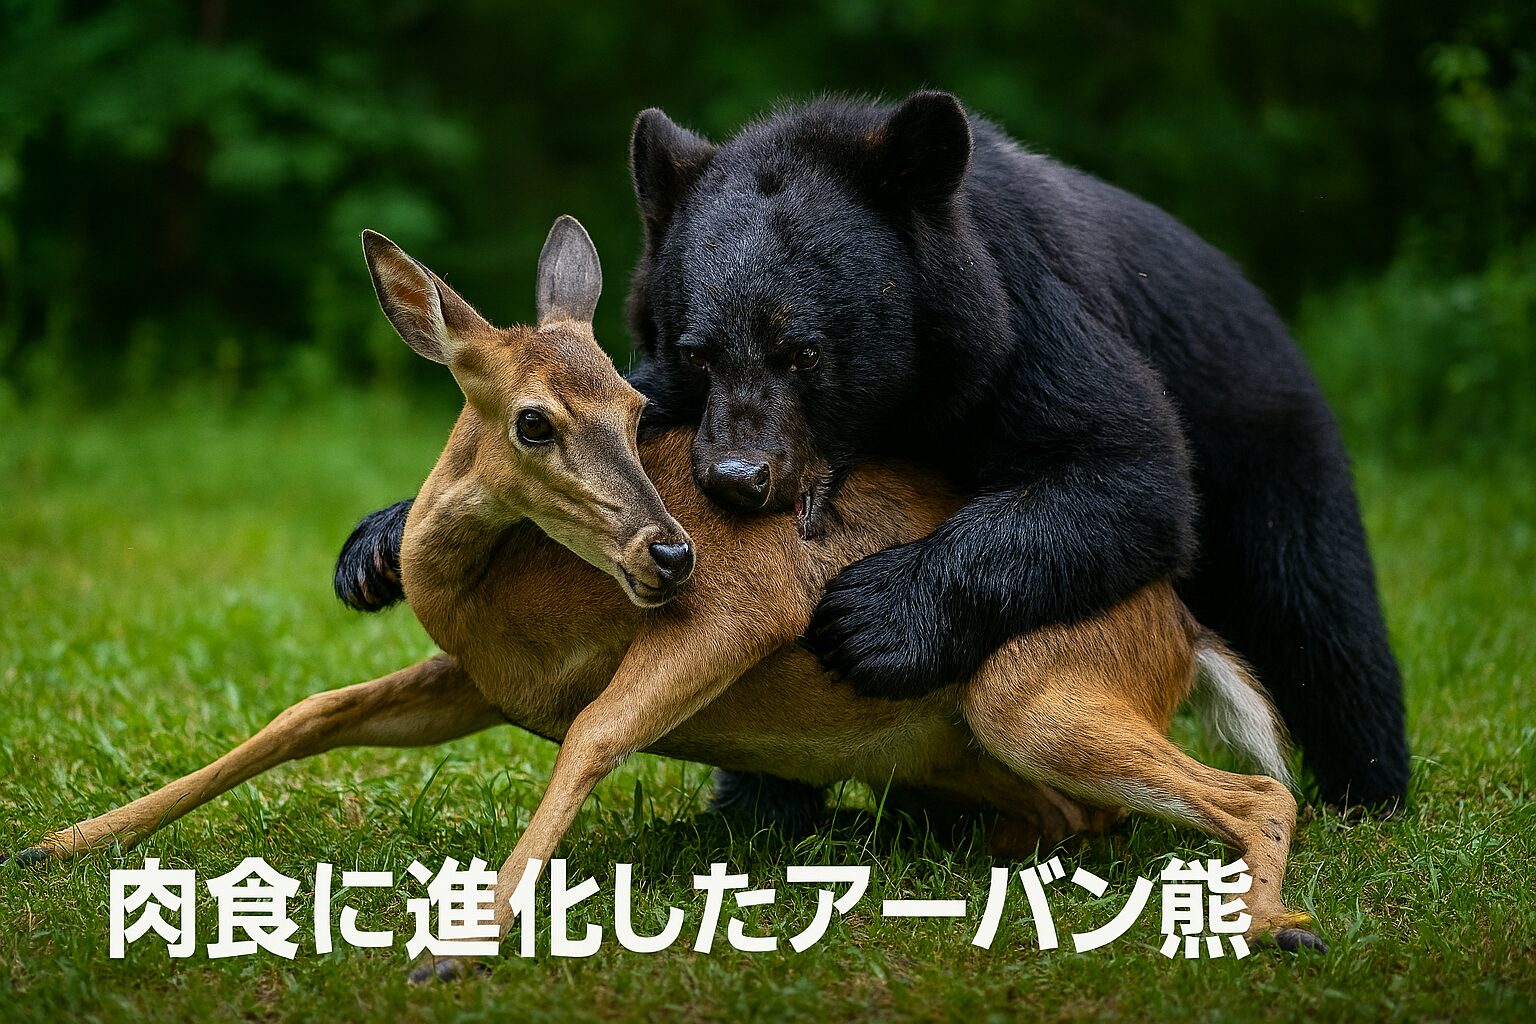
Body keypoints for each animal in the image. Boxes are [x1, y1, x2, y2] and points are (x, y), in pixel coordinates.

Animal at [336, 92, 1408, 812]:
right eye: (700, 351)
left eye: (804, 351)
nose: (735, 482)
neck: (908, 396)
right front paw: (374, 547)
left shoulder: (1024, 325)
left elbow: (1125, 468)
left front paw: (870, 619)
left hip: (1273, 444)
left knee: (1322, 610)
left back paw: (1370, 792)